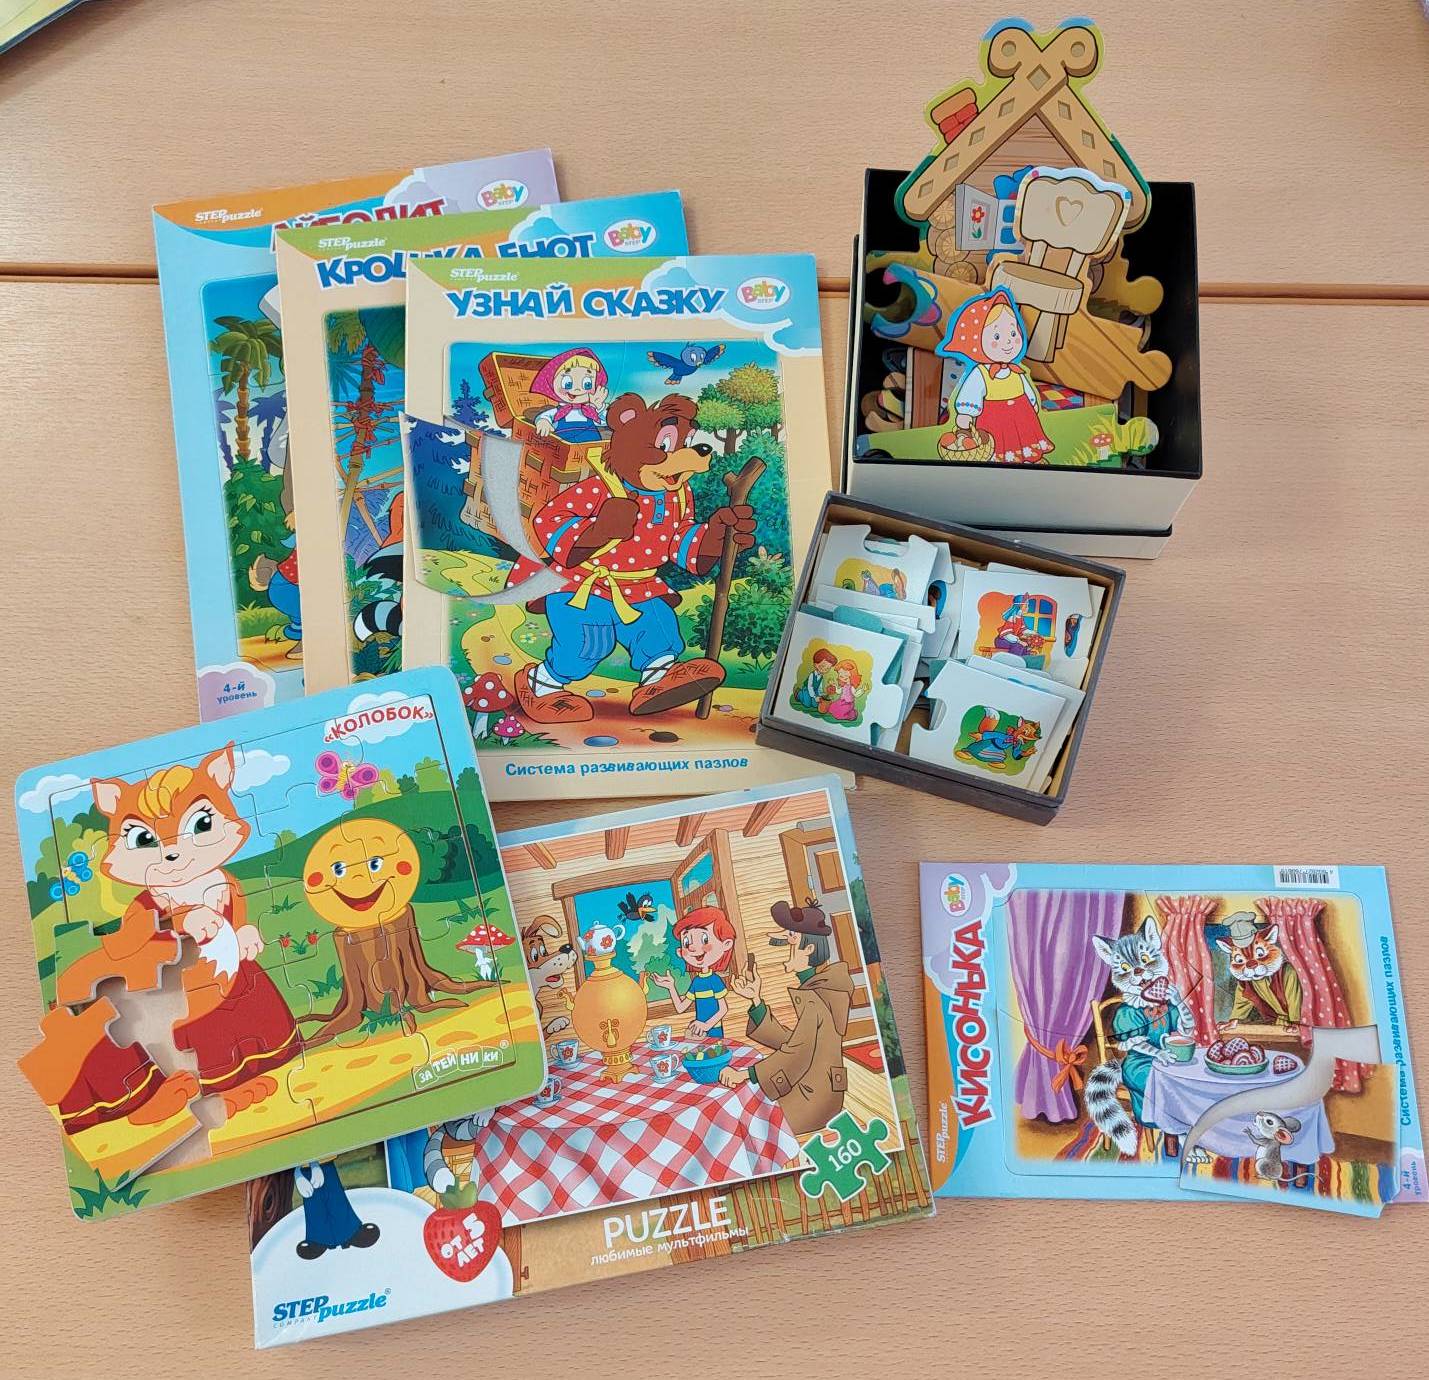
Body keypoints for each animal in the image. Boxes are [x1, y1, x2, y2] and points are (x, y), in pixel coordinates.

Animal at [510, 391, 755, 723]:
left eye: (691, 439)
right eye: (664, 443)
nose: (704, 448)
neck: (648, 492)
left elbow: (683, 542)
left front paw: (732, 524)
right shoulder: (589, 492)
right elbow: (553, 518)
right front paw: (613, 519)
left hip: (644, 605)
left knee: (655, 635)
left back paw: (671, 686)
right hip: (581, 608)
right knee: (584, 647)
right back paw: (543, 699)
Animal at [1083, 915, 1194, 1156]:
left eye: (1144, 958)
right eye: (1125, 967)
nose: (1138, 971)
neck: (1149, 1004)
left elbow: (1184, 1027)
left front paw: (1175, 995)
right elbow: (1138, 1041)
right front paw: (1161, 1054)